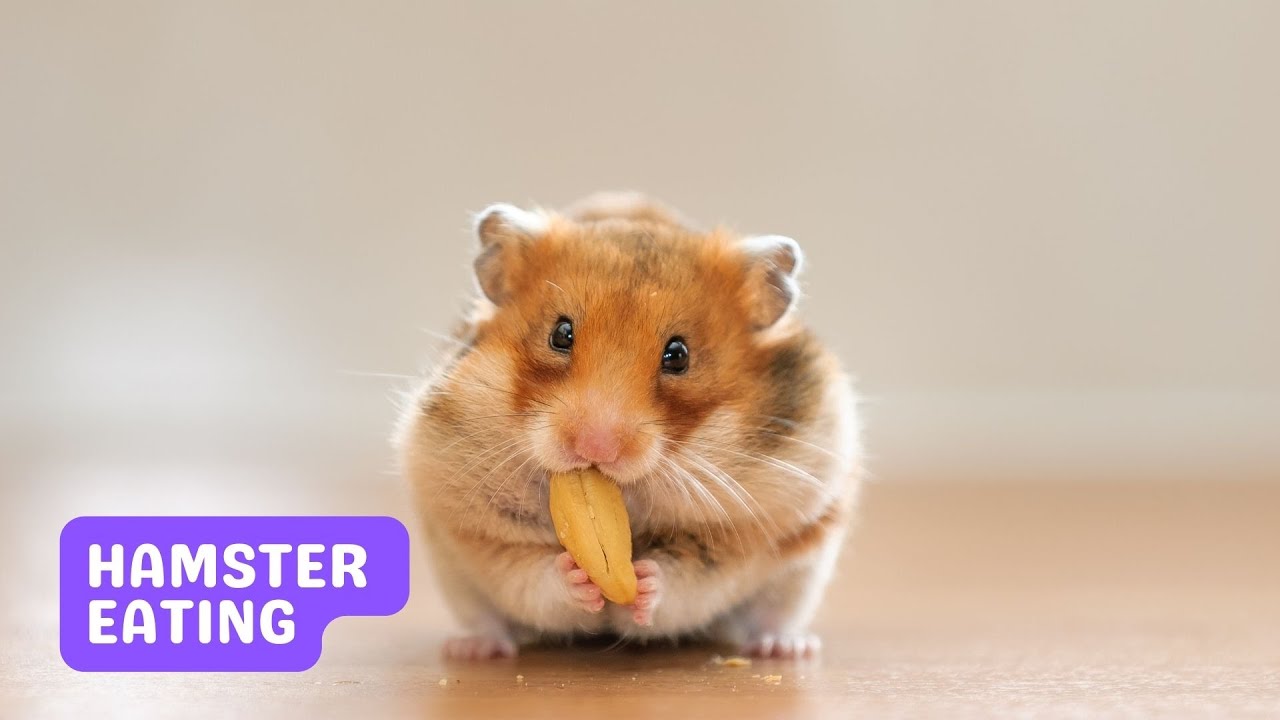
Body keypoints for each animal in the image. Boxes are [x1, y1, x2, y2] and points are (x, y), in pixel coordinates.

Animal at [395, 192, 862, 660]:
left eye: (679, 355)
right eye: (560, 334)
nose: (595, 449)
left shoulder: (744, 533)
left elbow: (688, 579)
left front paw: (644, 582)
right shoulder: (475, 526)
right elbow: (531, 574)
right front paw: (576, 577)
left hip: (801, 574)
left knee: (771, 617)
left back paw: (786, 648)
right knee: (486, 618)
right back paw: (473, 649)